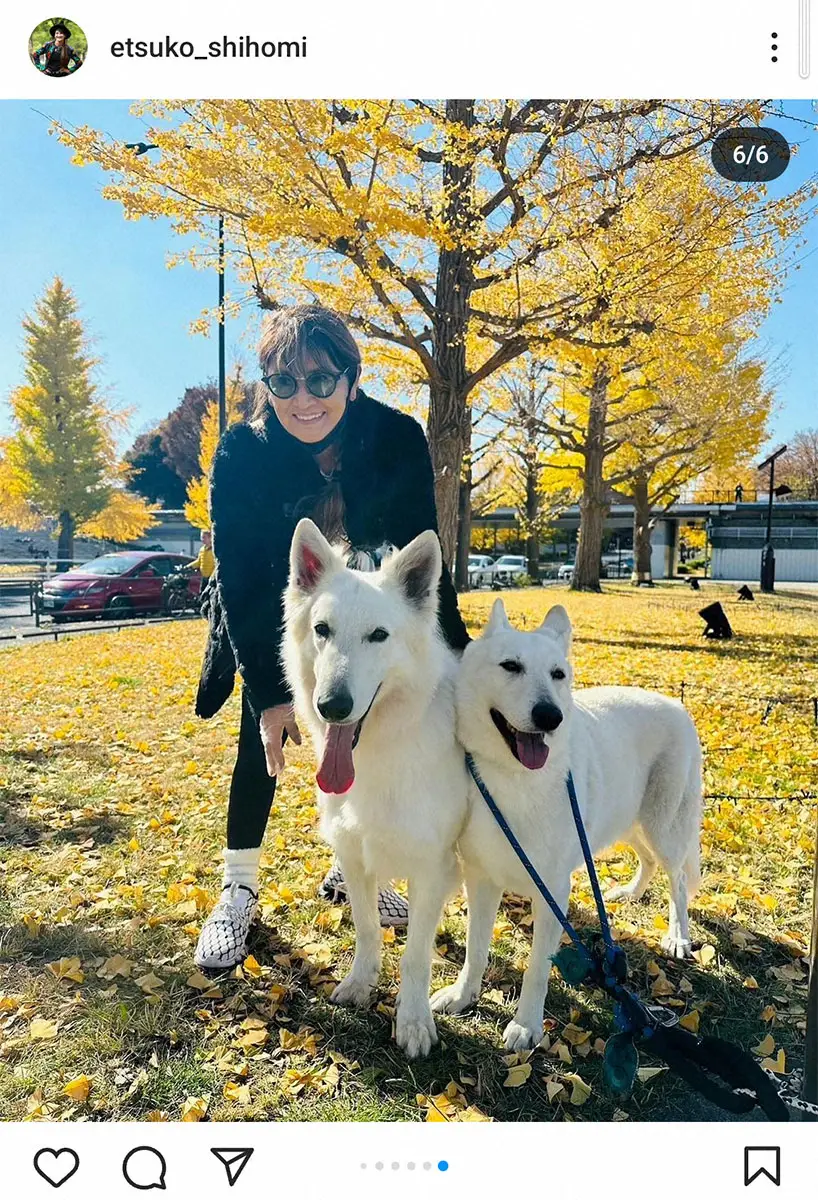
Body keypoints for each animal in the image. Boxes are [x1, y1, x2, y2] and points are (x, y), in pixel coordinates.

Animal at [281, 520, 467, 1056]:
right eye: (322, 630)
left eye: (379, 636)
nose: (332, 707)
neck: (382, 753)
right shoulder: (353, 856)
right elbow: (367, 930)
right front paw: (361, 985)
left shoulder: (431, 869)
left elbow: (416, 955)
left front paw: (413, 1020)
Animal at [434, 600, 700, 1051]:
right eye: (511, 666)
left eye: (557, 674)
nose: (550, 716)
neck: (517, 781)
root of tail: (677, 707)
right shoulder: (482, 882)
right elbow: (475, 949)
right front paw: (463, 995)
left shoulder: (553, 894)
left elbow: (536, 971)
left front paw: (526, 1026)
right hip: (626, 823)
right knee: (647, 861)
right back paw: (629, 893)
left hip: (662, 828)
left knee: (678, 881)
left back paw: (677, 936)